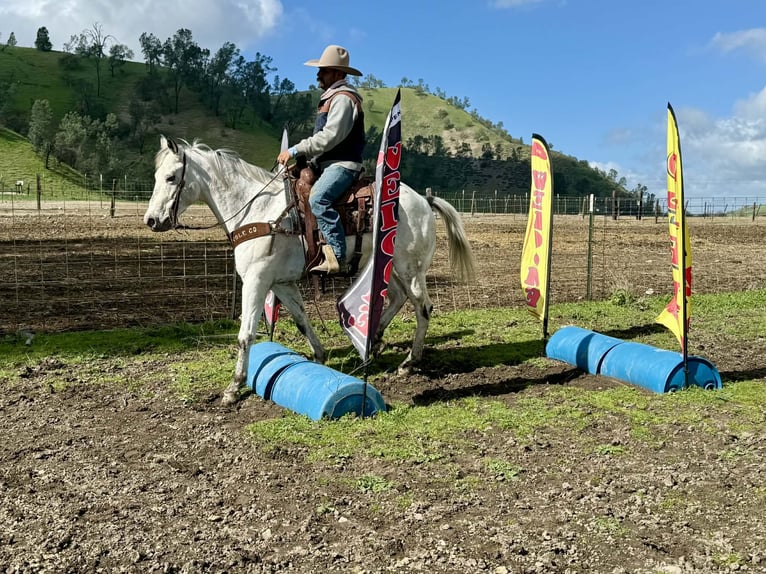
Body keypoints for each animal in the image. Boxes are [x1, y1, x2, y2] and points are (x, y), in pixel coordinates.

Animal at [144, 136, 476, 405]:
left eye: (171, 177)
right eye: (157, 176)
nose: (151, 220)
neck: (257, 210)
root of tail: (424, 200)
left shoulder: (256, 281)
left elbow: (245, 334)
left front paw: (233, 388)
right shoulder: (281, 283)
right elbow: (302, 320)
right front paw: (319, 357)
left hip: (409, 268)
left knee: (422, 307)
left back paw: (408, 362)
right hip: (388, 266)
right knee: (396, 298)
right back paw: (376, 340)